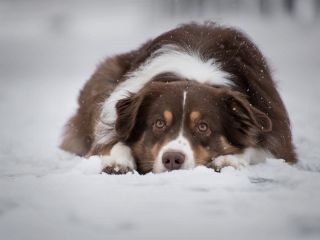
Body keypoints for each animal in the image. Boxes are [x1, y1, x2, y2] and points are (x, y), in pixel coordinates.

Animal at [60, 22, 298, 174]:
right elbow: (112, 141)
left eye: (203, 126)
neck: (193, 75)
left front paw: (229, 159)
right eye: (159, 123)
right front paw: (117, 160)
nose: (172, 159)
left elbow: (257, 148)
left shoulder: (277, 136)